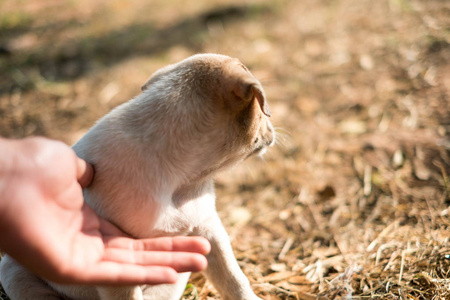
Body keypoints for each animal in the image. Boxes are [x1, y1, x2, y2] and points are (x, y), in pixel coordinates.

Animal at [0, 54, 274, 300]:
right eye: (262, 111)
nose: (273, 130)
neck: (186, 182)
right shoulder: (120, 266)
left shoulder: (208, 229)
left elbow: (232, 277)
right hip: (14, 271)